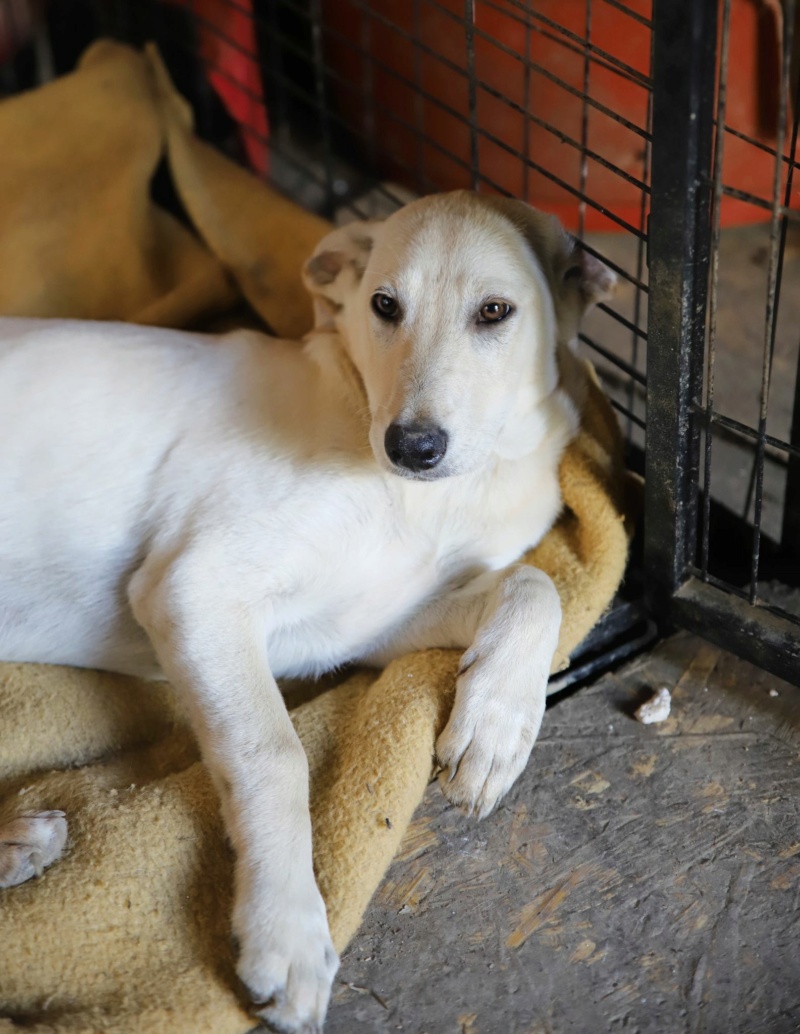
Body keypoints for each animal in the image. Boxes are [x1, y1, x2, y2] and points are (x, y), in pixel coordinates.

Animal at [0, 190, 616, 1029]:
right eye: (385, 305)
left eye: (495, 311)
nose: (411, 447)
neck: (440, 498)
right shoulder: (193, 588)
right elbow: (274, 754)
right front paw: (287, 931)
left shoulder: (368, 625)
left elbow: (534, 587)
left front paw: (495, 729)